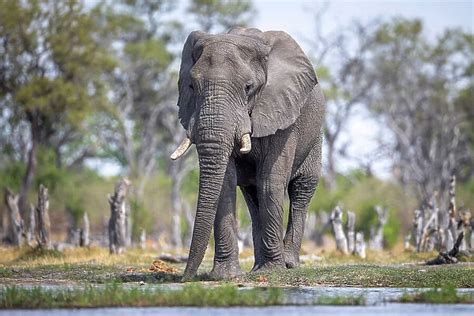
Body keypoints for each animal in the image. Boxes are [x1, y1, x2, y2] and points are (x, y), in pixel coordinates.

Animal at [171, 26, 326, 278]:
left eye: (248, 87)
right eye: (192, 87)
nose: (185, 278)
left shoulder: (282, 113)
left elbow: (270, 183)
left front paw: (273, 271)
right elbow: (225, 183)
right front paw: (225, 276)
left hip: (315, 138)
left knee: (301, 190)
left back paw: (288, 263)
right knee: (253, 198)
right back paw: (257, 268)